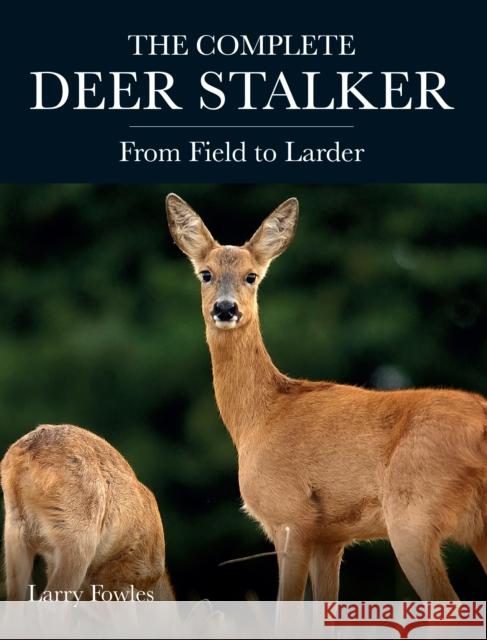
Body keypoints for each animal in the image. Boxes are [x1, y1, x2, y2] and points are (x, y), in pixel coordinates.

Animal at [166, 192, 487, 601]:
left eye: (251, 276)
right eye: (205, 273)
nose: (225, 308)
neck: (259, 418)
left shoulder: (290, 516)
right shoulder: (330, 538)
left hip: (413, 515)